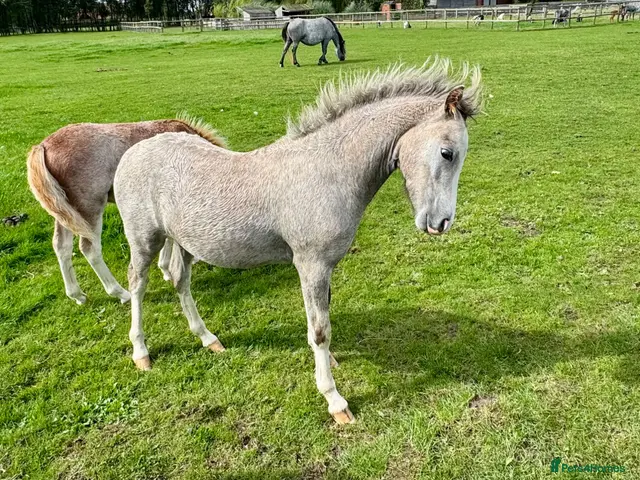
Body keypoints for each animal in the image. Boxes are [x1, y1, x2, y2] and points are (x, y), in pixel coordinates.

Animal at [27, 115, 226, 305]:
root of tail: (43, 146)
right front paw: (166, 269)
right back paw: (120, 293)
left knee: (61, 246)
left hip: (66, 213)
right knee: (89, 248)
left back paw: (77, 295)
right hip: (89, 208)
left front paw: (165, 269)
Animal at [113, 58, 483, 424]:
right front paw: (335, 401)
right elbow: (320, 329)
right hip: (145, 240)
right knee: (138, 284)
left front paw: (329, 363)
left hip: (185, 243)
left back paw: (208, 339)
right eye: (447, 153)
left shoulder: (323, 268)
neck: (327, 170)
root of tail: (133, 152)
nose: (441, 223)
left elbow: (320, 320)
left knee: (179, 280)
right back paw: (141, 352)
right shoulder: (312, 265)